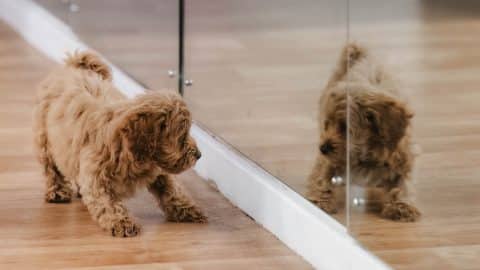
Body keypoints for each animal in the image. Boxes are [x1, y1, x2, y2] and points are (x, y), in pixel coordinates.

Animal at [33, 50, 206, 236]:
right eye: (182, 135)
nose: (199, 155)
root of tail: (73, 67)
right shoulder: (97, 176)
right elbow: (108, 203)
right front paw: (122, 223)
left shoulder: (158, 170)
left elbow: (172, 190)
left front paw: (188, 210)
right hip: (45, 139)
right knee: (51, 168)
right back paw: (57, 191)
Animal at [308, 43, 420, 221]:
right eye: (327, 124)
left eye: (345, 127)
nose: (323, 148)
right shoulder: (329, 160)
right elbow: (322, 176)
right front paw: (320, 201)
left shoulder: (402, 154)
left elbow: (404, 181)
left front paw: (401, 206)